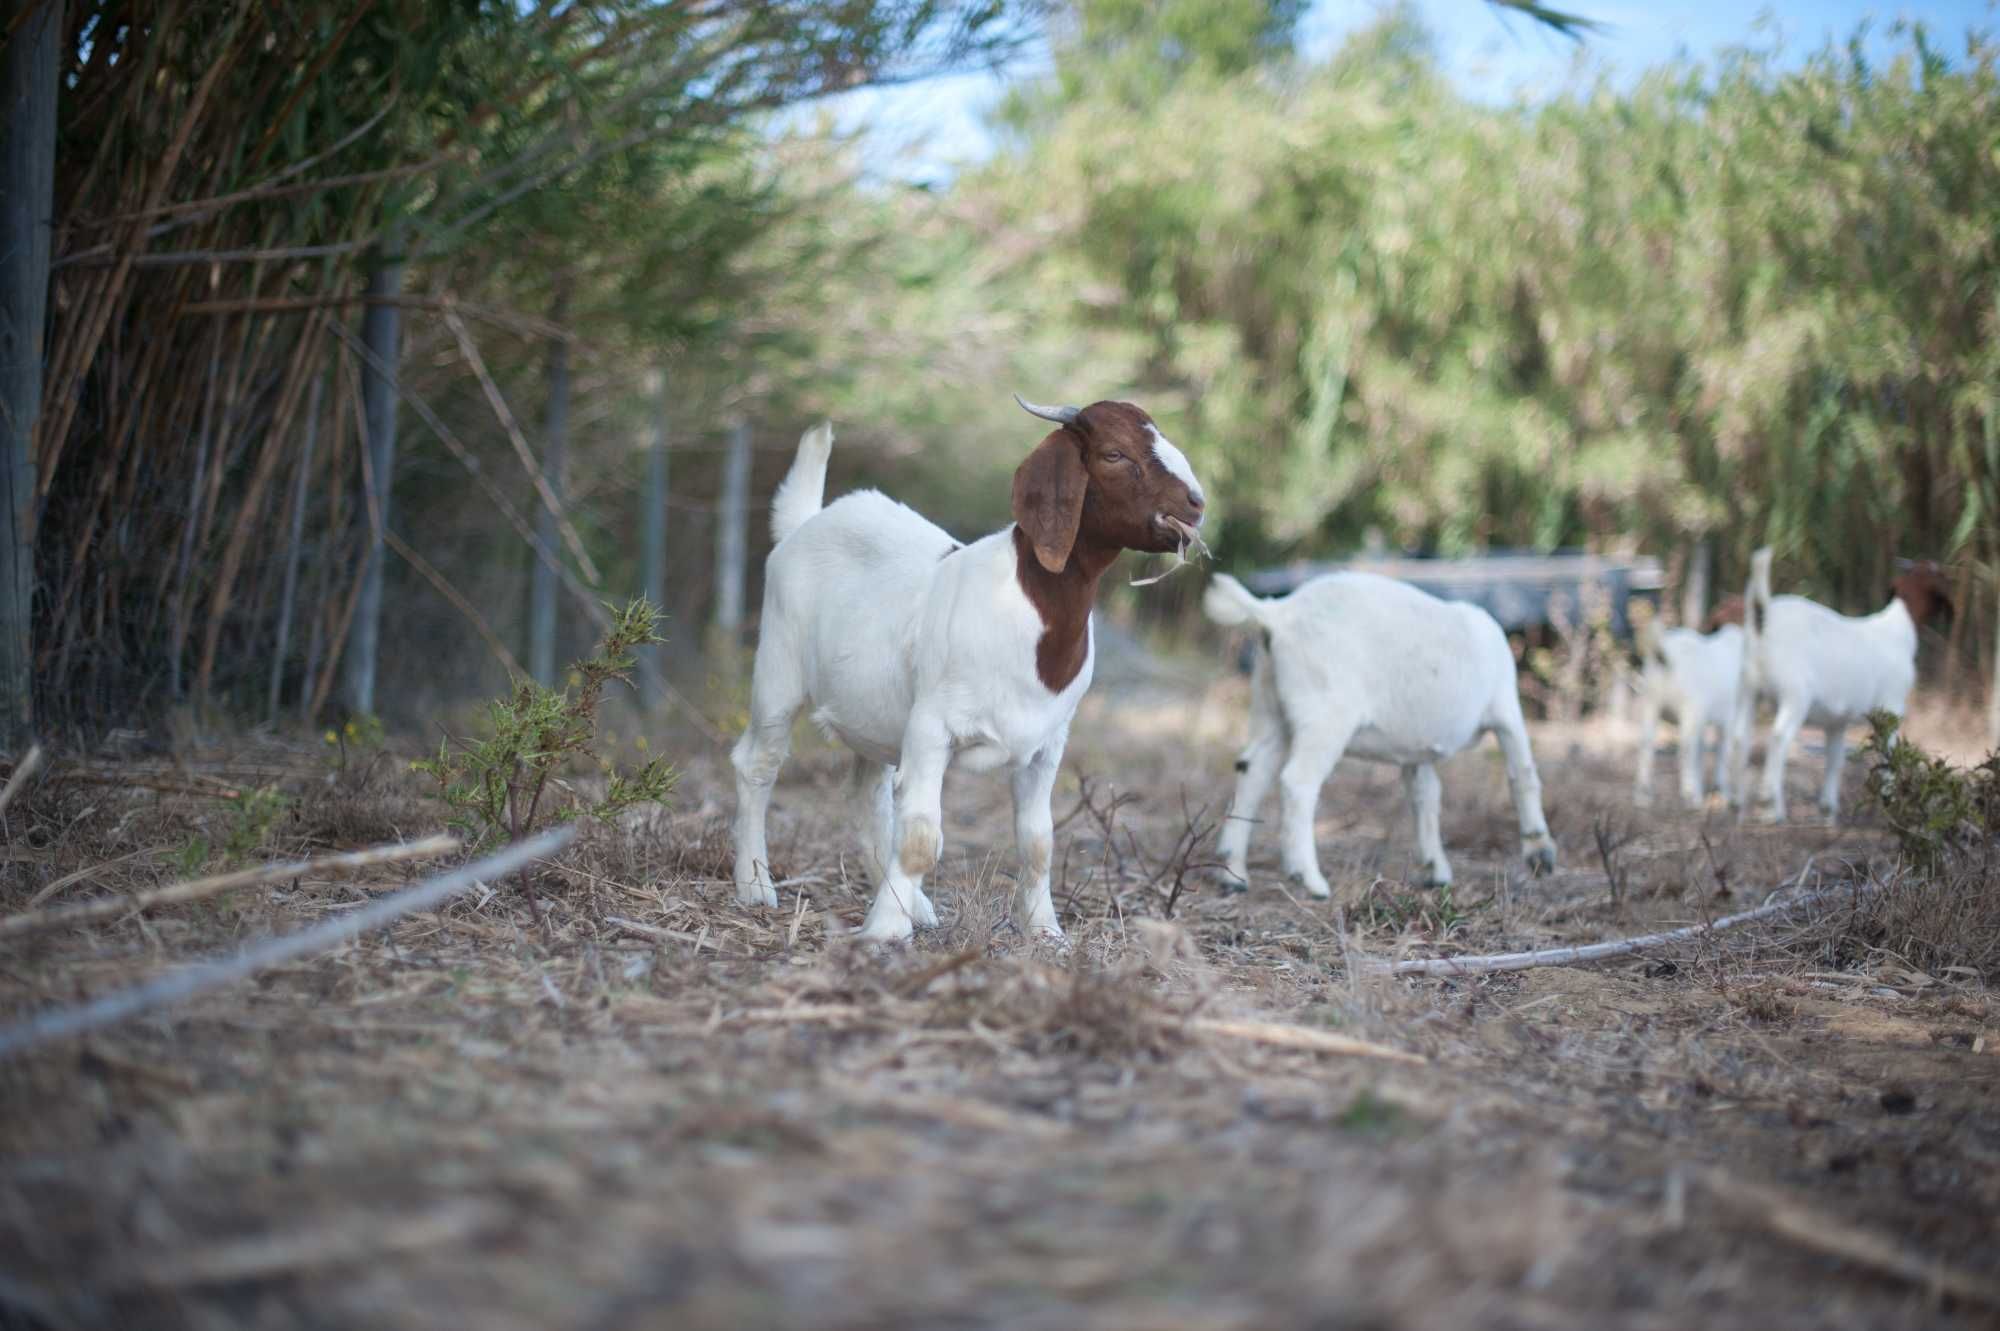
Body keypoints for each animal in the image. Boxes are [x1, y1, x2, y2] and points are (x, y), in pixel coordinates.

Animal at [732, 399, 1200, 939]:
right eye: (1114, 453)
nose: (1195, 503)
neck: (1026, 608)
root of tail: (803, 523)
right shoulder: (931, 726)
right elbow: (920, 835)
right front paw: (884, 931)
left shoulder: (1048, 744)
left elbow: (1038, 840)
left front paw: (1045, 930)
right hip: (778, 668)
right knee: (758, 764)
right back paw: (755, 886)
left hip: (873, 709)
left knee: (866, 793)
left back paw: (912, 904)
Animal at [1192, 563, 1552, 895]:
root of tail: (1278, 613)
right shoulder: (1506, 710)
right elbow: (1523, 774)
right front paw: (1541, 854)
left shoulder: (1415, 748)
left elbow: (1425, 796)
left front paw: (1435, 869)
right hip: (1326, 714)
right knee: (1298, 781)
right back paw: (1309, 879)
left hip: (1270, 707)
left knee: (1252, 770)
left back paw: (1233, 874)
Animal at [1720, 543, 1952, 819]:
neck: (1898, 626)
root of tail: (1762, 614)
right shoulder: (1892, 707)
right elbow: (1889, 757)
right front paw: (1891, 801)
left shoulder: (1837, 722)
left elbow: (1834, 760)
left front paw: (1828, 811)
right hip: (1795, 693)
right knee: (1778, 737)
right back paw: (1771, 806)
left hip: (1747, 688)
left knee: (1738, 738)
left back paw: (1736, 802)